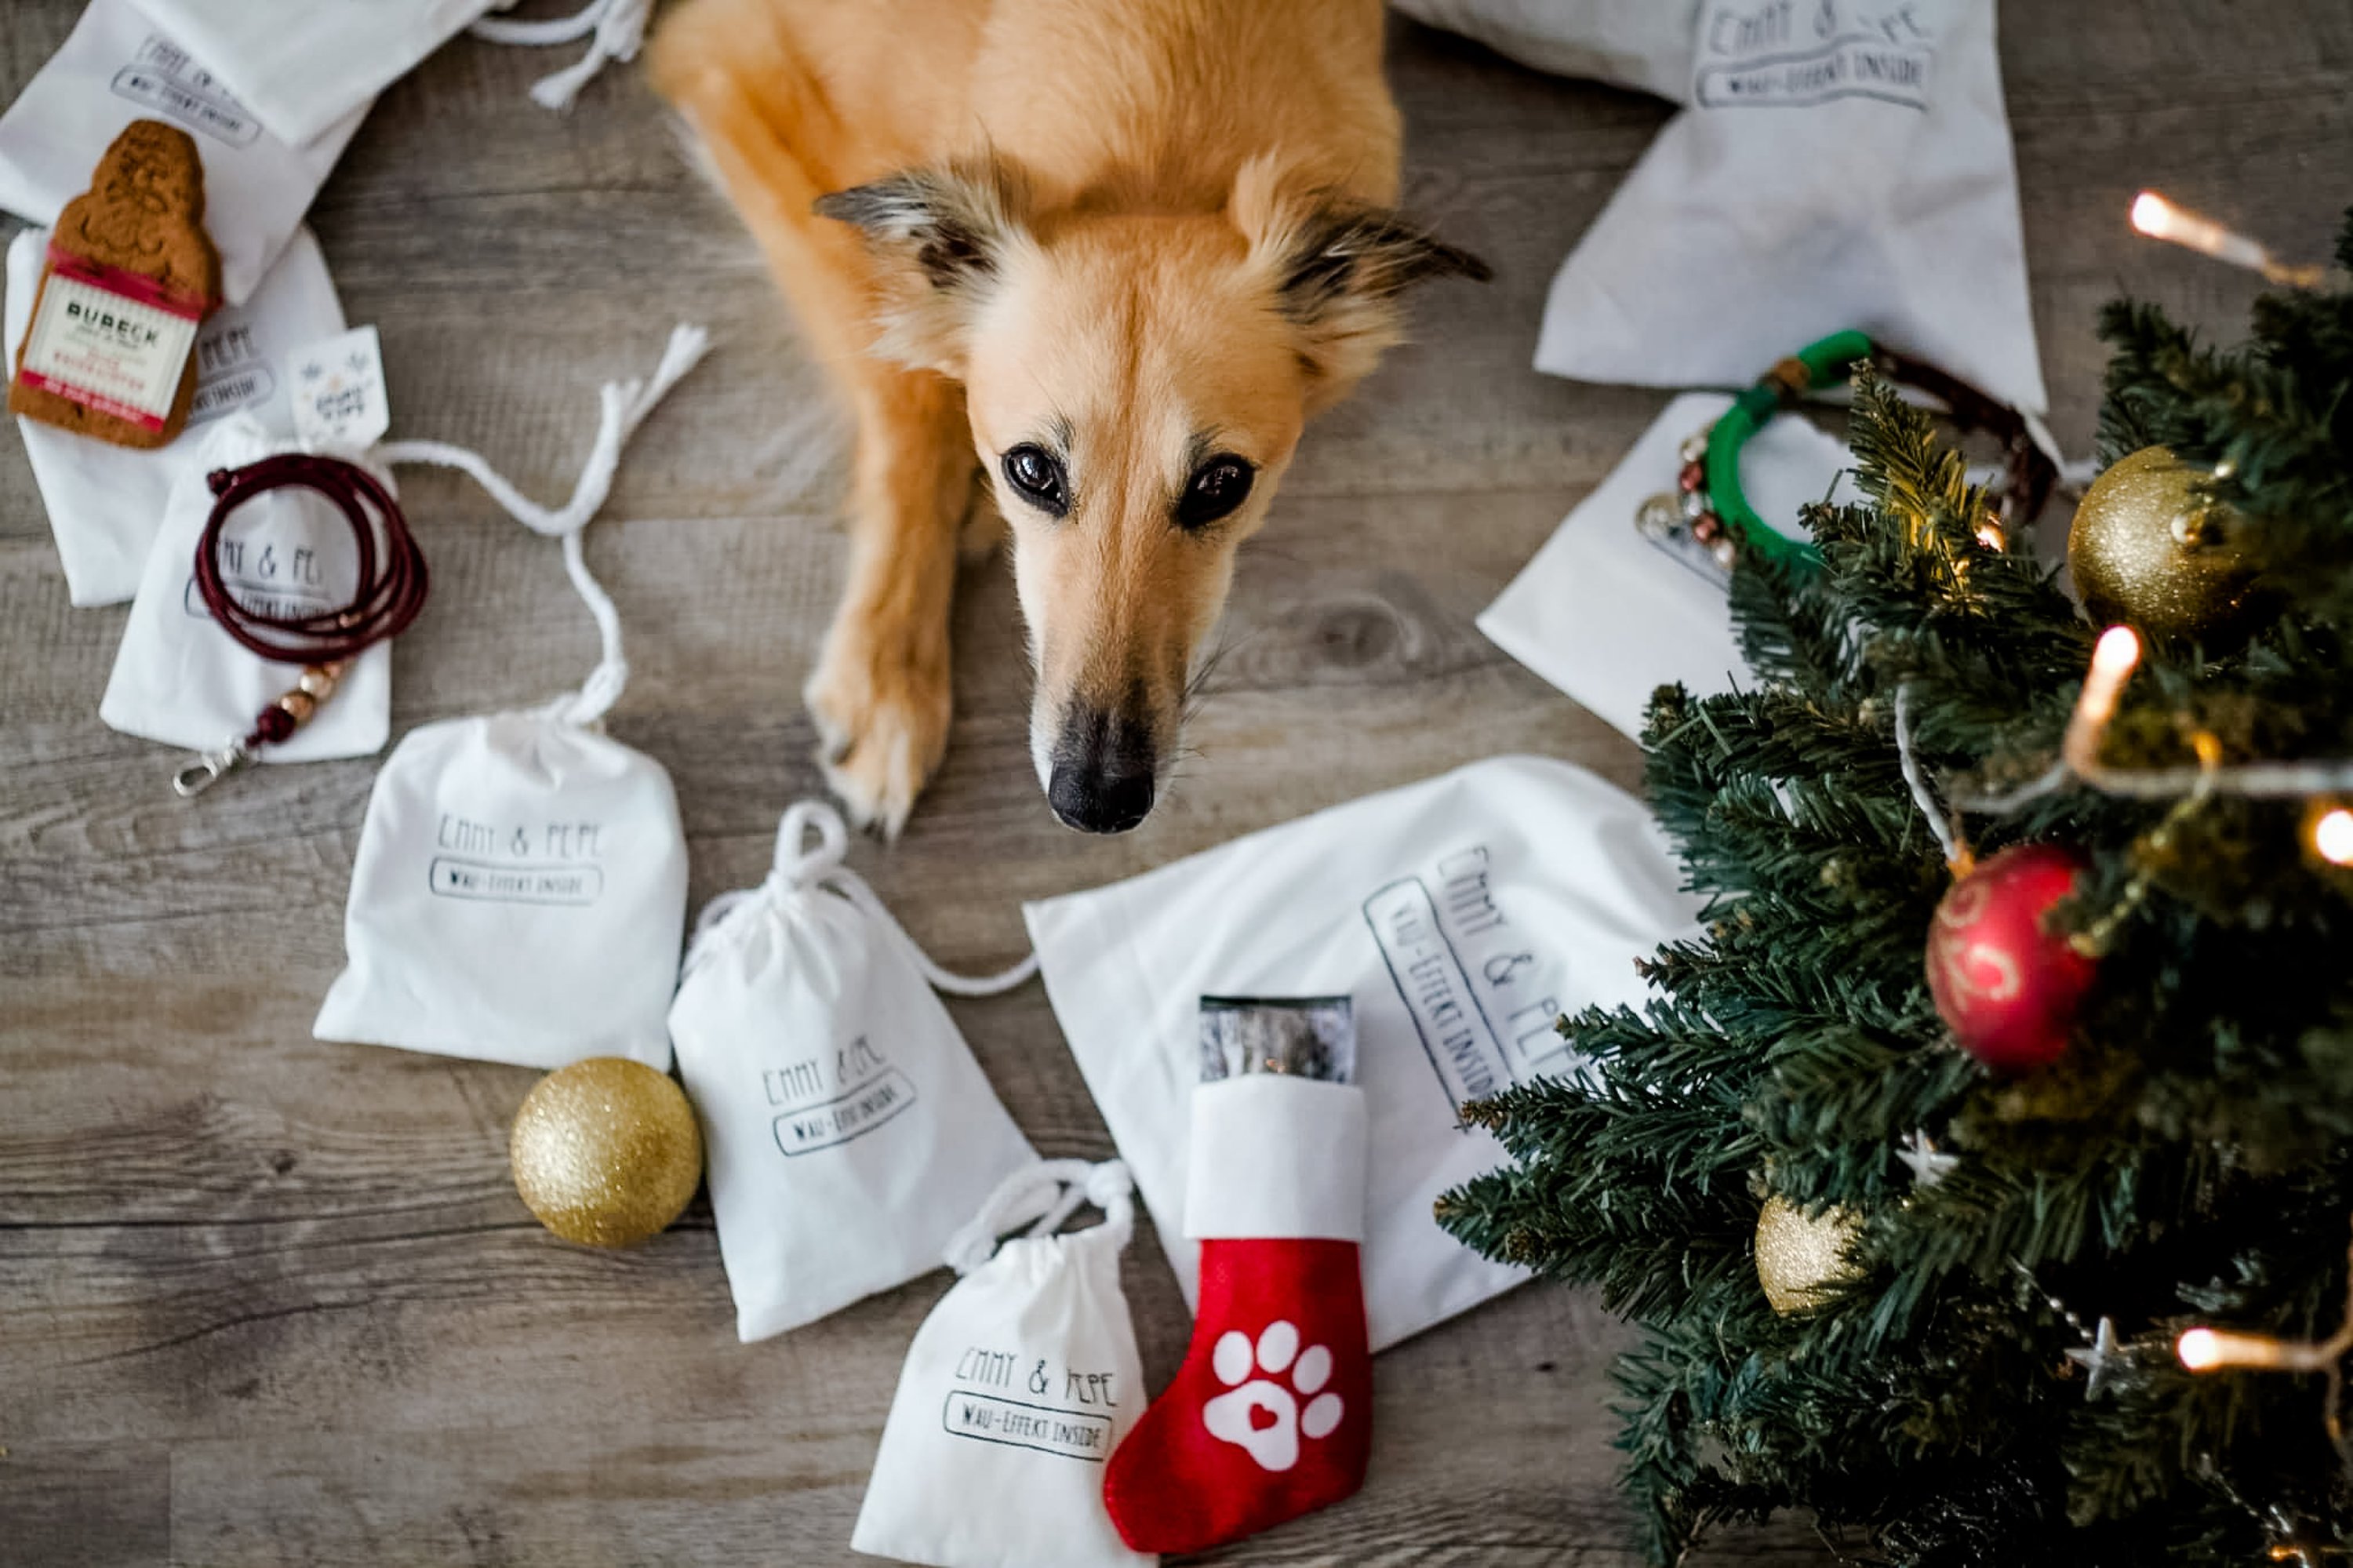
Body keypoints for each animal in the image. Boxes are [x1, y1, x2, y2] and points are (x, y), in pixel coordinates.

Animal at [654, 0, 1478, 828]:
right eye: (1030, 470)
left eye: (1223, 484)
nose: (1097, 802)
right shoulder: (732, 64)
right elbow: (912, 391)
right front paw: (888, 679)